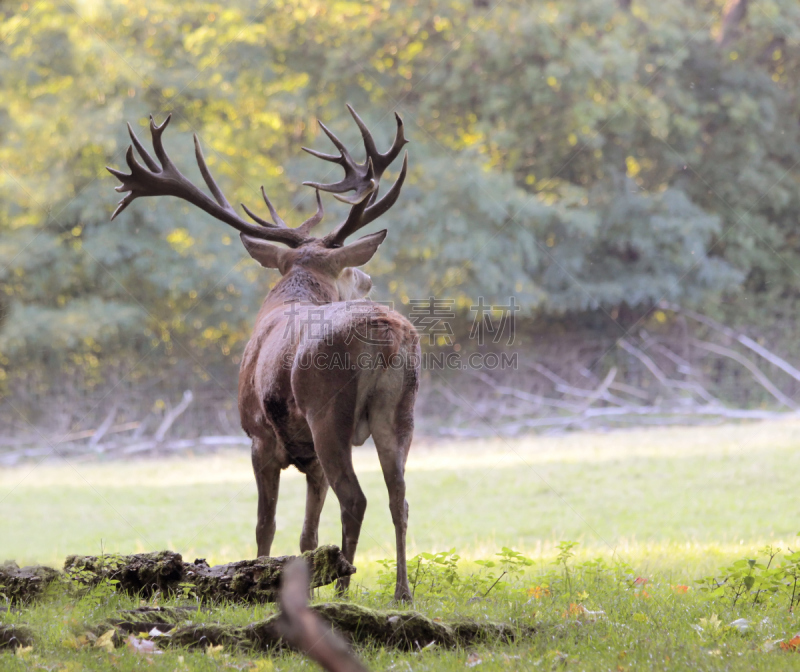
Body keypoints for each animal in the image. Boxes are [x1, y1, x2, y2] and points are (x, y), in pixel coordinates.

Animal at [108, 107, 418, 600]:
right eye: (350, 269)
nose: (368, 280)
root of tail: (385, 333)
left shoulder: (258, 437)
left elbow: (264, 525)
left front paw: (258, 579)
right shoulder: (308, 460)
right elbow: (307, 534)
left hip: (327, 413)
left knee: (357, 498)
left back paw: (345, 590)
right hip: (401, 410)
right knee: (399, 497)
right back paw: (401, 592)